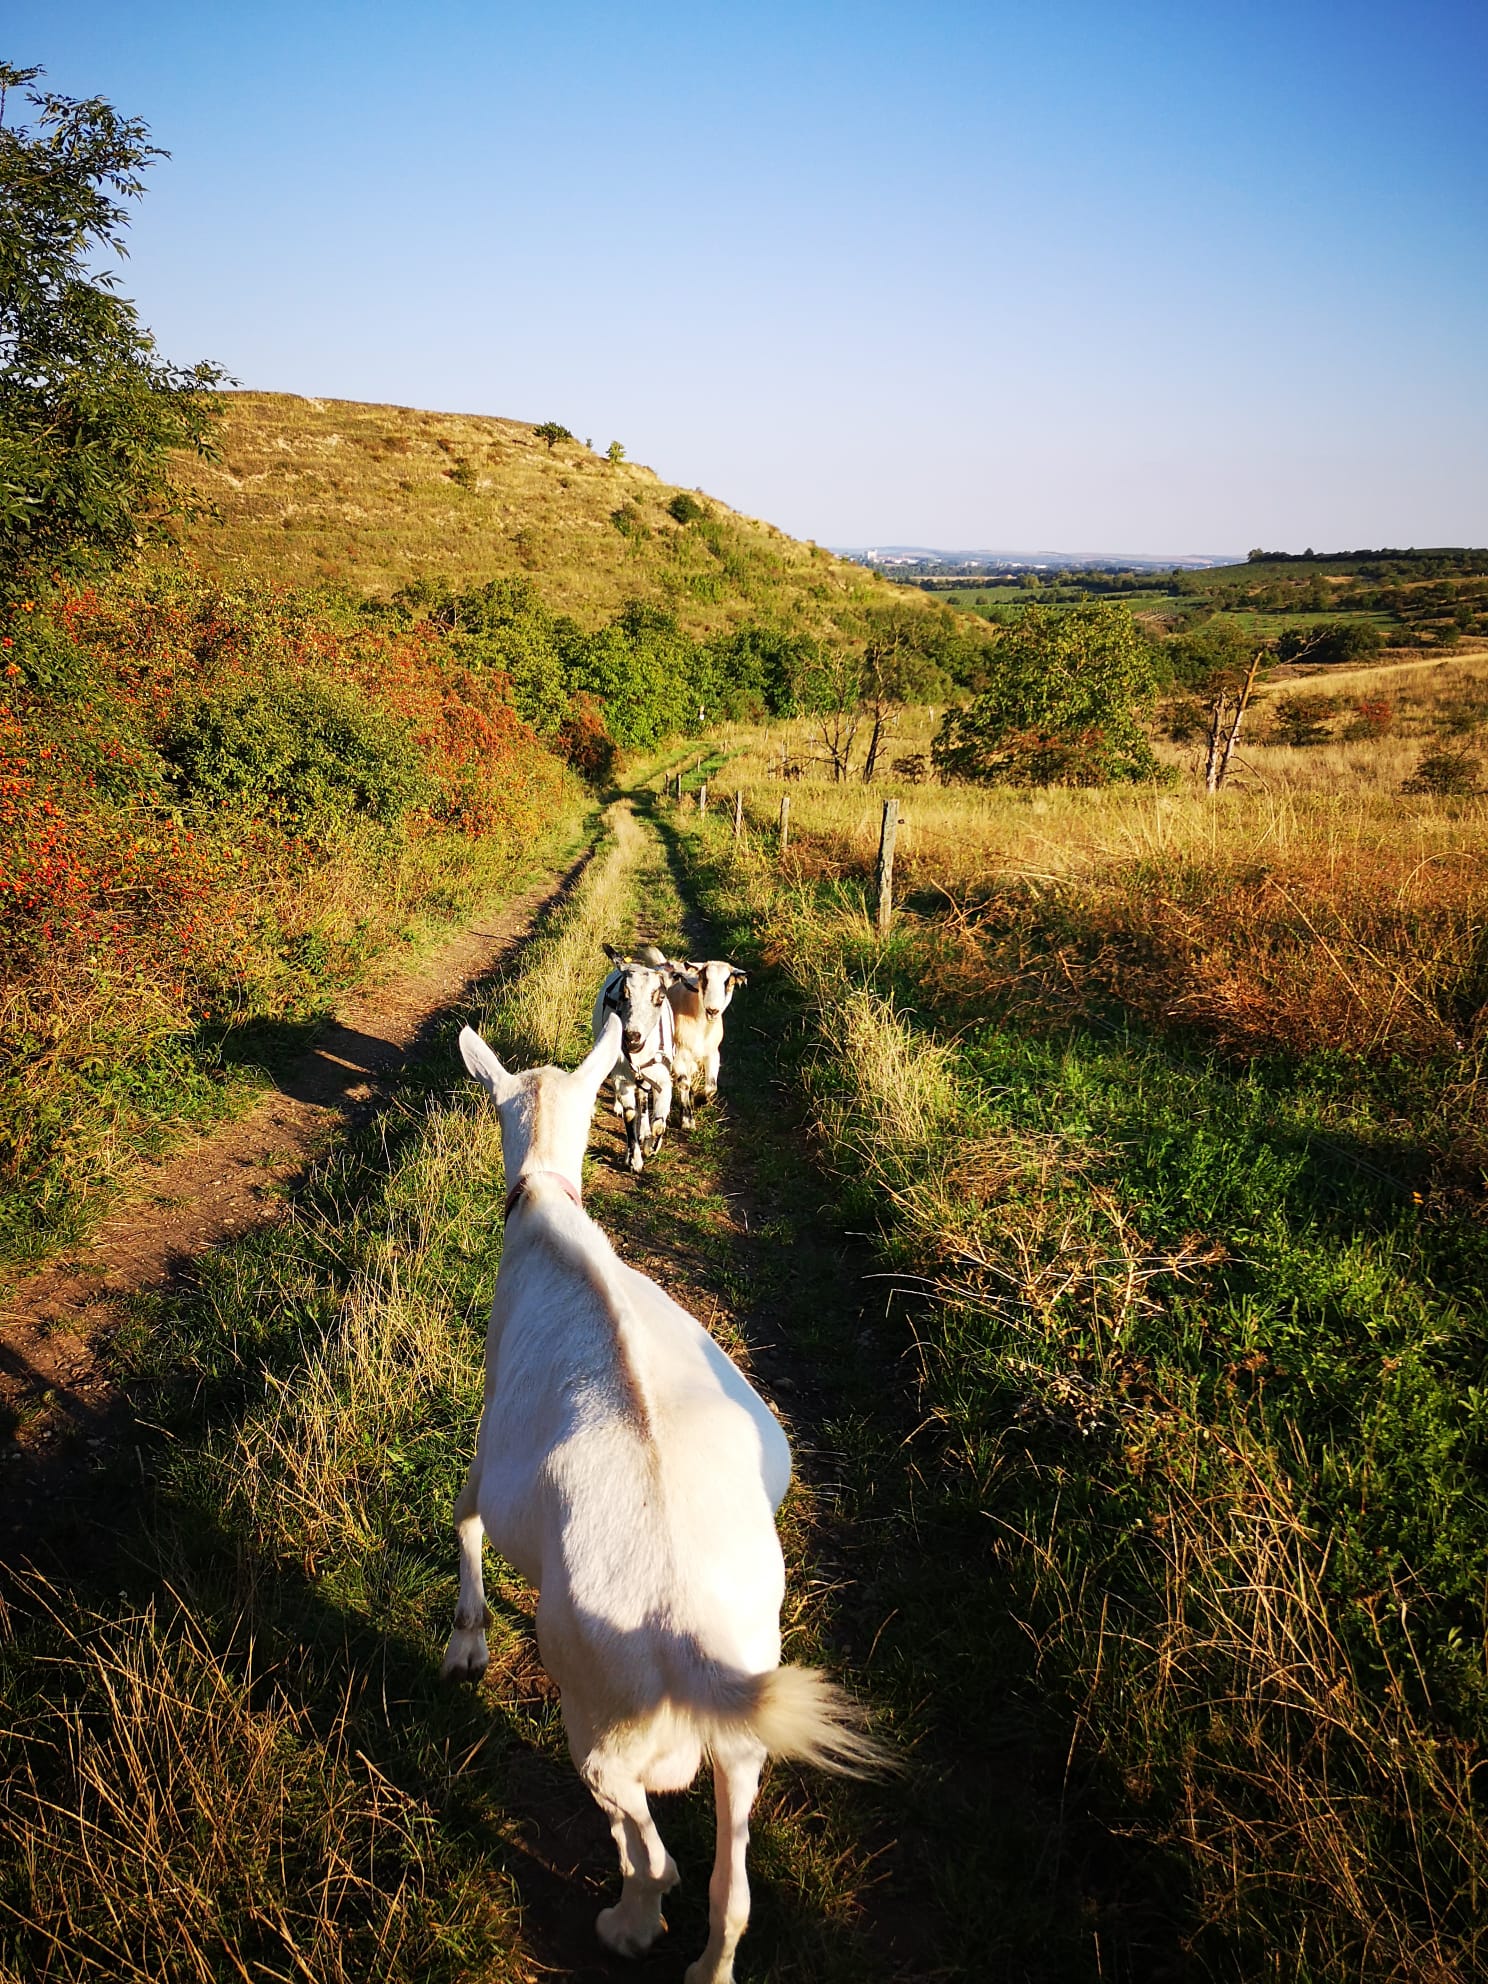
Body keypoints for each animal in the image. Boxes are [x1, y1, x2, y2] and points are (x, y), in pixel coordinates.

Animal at [442, 1023, 884, 1984]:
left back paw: (630, 1920)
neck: (548, 1210)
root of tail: (684, 1627)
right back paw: (707, 1958)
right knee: (730, 1879)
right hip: (747, 1695)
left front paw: (466, 1646)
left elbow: (466, 1518)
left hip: (596, 1699)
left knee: (636, 1824)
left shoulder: (490, 1428)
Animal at [670, 960, 749, 1134]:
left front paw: (699, 1100)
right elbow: (684, 1083)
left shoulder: (712, 1054)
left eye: (728, 983)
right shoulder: (679, 1054)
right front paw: (687, 1122)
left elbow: (711, 1087)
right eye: (704, 980)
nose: (712, 1010)